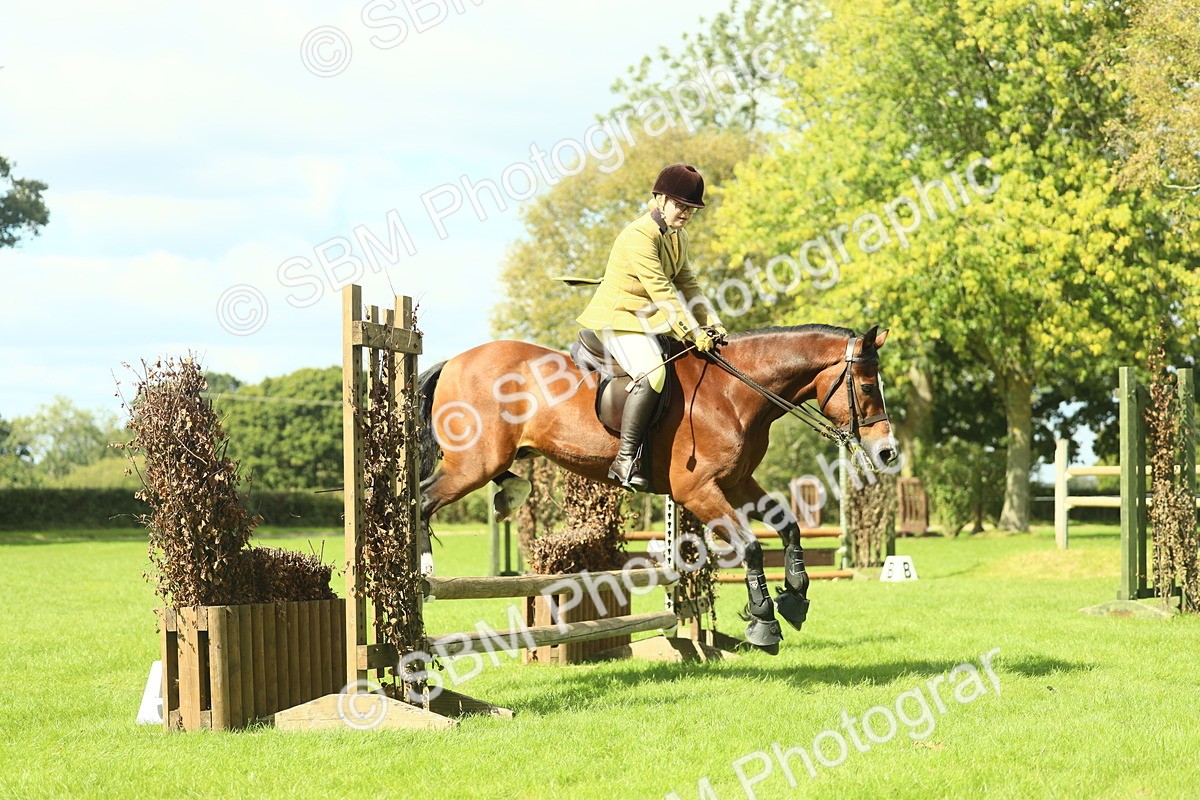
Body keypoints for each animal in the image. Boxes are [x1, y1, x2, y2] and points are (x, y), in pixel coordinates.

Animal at [416, 323, 896, 649]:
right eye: (867, 386)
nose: (888, 453)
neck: (735, 393)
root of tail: (452, 361)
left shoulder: (737, 482)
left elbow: (789, 526)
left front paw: (794, 596)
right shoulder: (698, 491)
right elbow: (751, 546)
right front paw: (764, 621)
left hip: (492, 458)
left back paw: (507, 496)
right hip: (471, 464)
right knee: (422, 501)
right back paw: (423, 575)